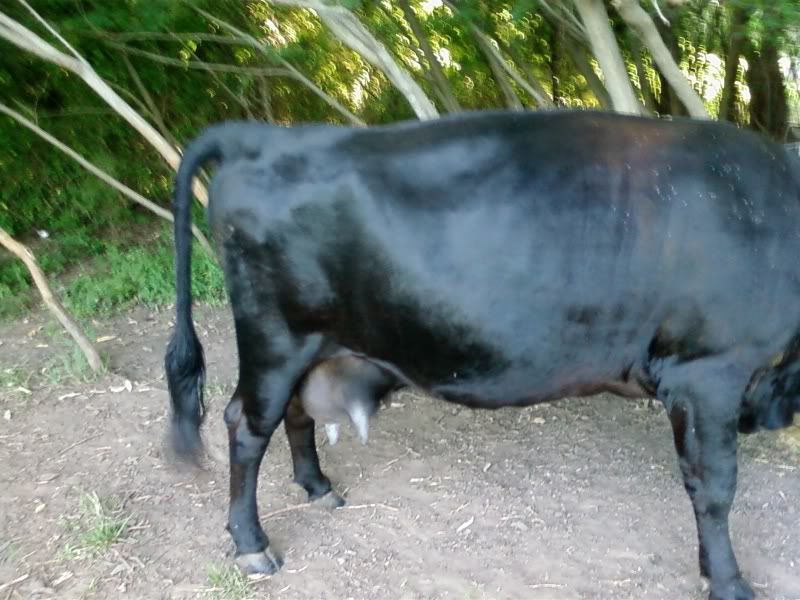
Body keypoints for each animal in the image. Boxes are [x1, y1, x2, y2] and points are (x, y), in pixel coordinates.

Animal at [165, 109, 800, 600]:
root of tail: (267, 135)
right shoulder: (709, 370)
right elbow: (714, 487)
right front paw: (729, 582)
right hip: (276, 338)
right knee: (246, 425)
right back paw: (253, 545)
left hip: (313, 344)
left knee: (294, 411)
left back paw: (318, 487)